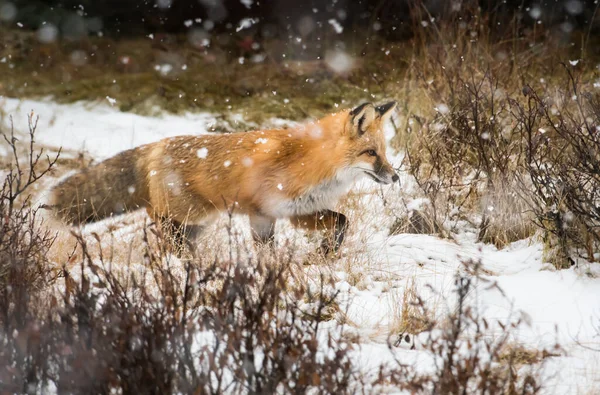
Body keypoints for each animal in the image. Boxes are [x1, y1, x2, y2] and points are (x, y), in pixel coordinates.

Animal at [50, 102, 398, 255]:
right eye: (371, 153)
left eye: (383, 151)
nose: (395, 177)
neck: (311, 162)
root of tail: (157, 145)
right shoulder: (263, 212)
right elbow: (266, 249)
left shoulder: (297, 211)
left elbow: (342, 222)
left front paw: (327, 252)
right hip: (185, 217)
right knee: (160, 231)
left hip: (197, 224)